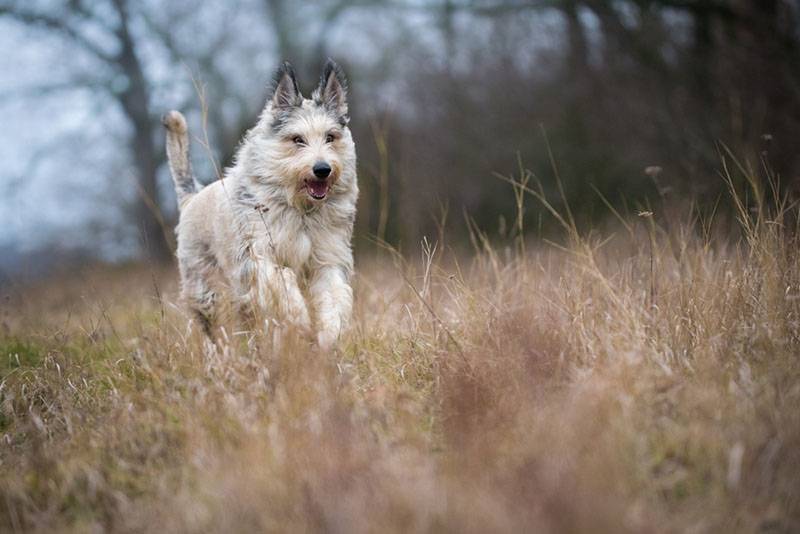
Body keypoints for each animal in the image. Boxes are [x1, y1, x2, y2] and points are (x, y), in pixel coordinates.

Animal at [164, 59, 358, 352]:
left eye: (330, 137)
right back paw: (218, 355)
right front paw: (300, 319)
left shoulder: (329, 258)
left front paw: (328, 337)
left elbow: (333, 296)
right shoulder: (258, 256)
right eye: (297, 139)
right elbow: (283, 280)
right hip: (204, 288)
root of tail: (191, 197)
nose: (322, 169)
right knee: (211, 327)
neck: (300, 210)